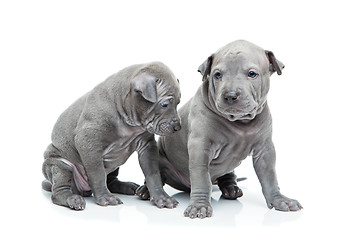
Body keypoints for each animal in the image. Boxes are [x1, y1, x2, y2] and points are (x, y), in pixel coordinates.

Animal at [42, 62, 181, 210]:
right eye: (164, 104)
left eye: (178, 103)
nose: (178, 127)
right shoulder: (88, 142)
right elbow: (97, 174)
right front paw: (105, 198)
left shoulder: (147, 146)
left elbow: (153, 174)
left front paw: (162, 197)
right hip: (60, 165)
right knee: (59, 191)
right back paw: (73, 199)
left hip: (114, 165)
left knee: (110, 179)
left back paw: (126, 186)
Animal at [136, 40, 302, 218]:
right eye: (217, 75)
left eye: (252, 74)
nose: (230, 95)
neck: (240, 122)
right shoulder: (200, 147)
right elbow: (201, 178)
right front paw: (199, 206)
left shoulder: (265, 150)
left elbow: (270, 176)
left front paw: (280, 200)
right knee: (157, 175)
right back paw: (146, 191)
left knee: (228, 175)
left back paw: (231, 188)